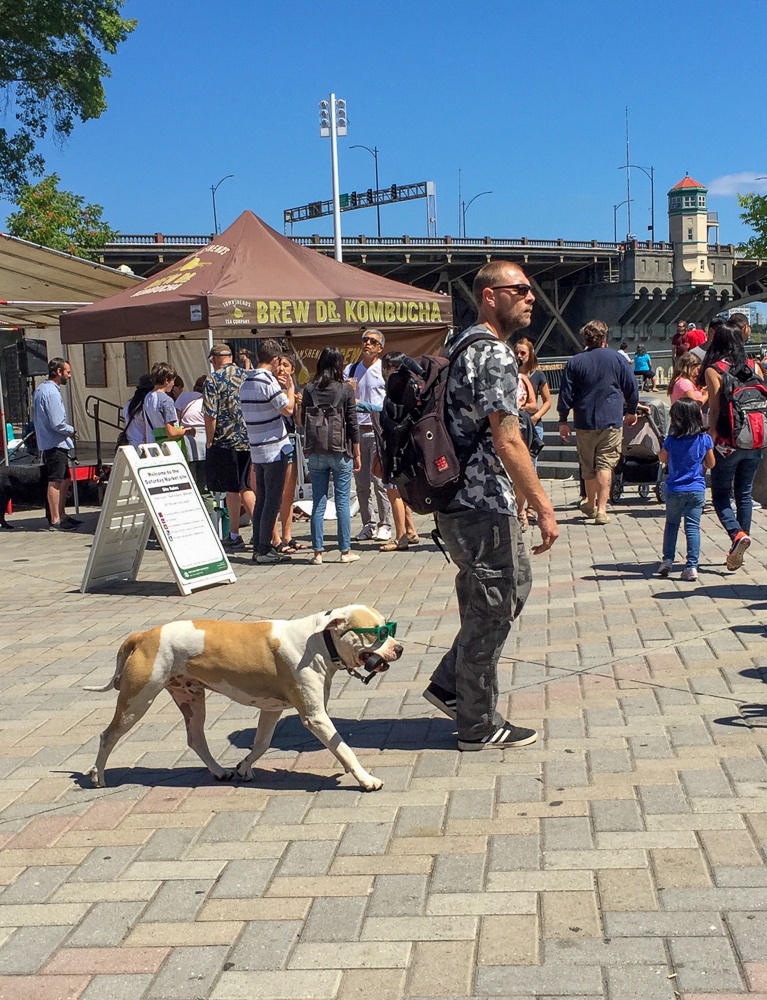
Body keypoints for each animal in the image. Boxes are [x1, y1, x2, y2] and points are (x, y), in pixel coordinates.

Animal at [85, 604, 402, 792]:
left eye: (389, 628)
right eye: (376, 634)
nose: (399, 648)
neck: (319, 641)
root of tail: (144, 634)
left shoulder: (272, 710)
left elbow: (261, 744)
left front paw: (243, 767)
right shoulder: (316, 718)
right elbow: (344, 749)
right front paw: (366, 779)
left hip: (192, 699)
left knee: (196, 739)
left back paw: (219, 771)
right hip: (136, 702)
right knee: (107, 735)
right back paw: (98, 776)